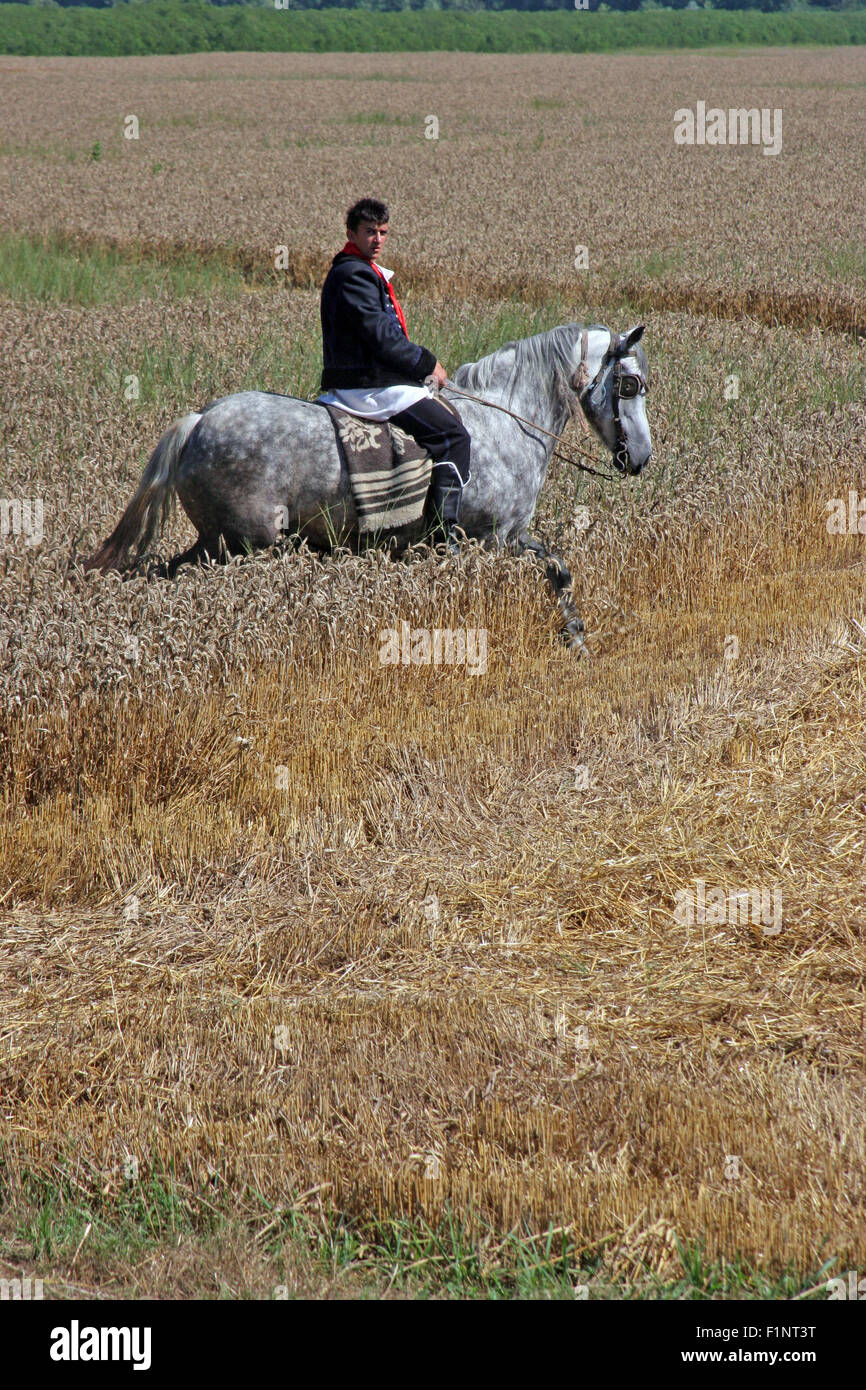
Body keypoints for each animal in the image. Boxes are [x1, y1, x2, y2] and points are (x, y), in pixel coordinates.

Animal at [85, 322, 652, 647]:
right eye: (628, 384)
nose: (641, 458)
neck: (505, 420)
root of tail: (200, 420)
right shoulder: (493, 540)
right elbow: (547, 571)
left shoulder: (514, 537)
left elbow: (559, 569)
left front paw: (576, 638)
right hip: (242, 545)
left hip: (219, 543)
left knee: (168, 574)